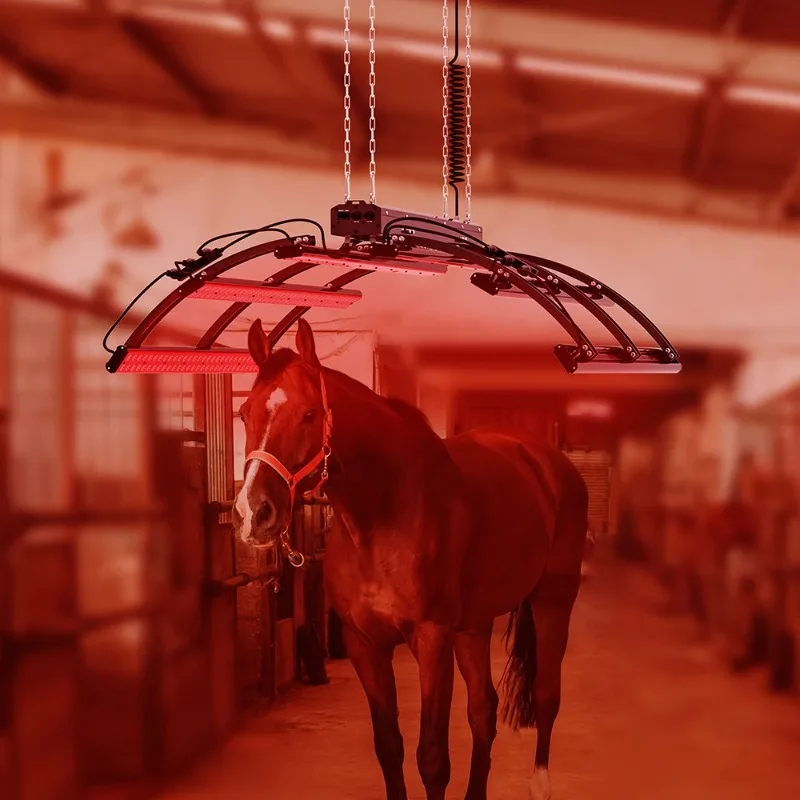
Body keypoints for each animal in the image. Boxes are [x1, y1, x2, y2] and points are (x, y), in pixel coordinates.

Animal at [233, 318, 588, 800]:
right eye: (244, 413)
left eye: (308, 414)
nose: (254, 512)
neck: (383, 516)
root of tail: (550, 463)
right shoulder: (365, 644)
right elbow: (389, 746)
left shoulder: (432, 638)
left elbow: (432, 758)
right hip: (473, 626)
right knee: (484, 710)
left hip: (553, 601)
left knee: (547, 696)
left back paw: (540, 785)